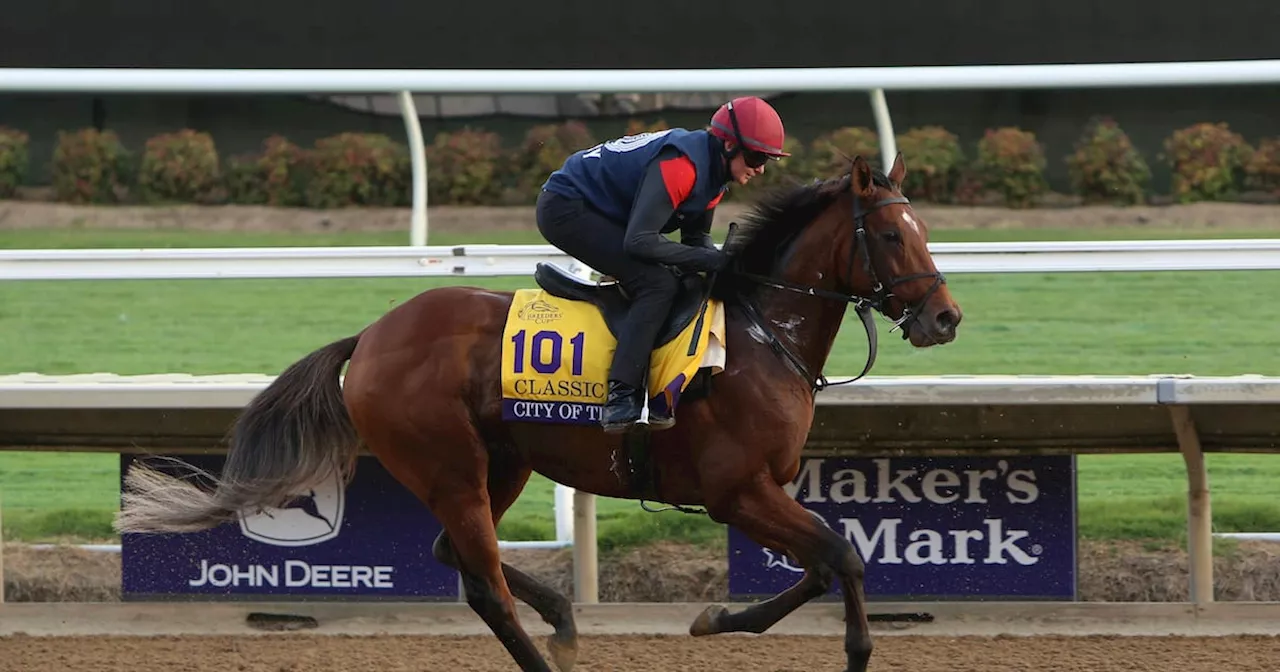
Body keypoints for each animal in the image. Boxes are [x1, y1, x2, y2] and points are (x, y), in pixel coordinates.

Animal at [115, 152, 962, 670]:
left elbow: (823, 563)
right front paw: (847, 649)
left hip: (505, 461)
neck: (760, 334)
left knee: (458, 556)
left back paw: (561, 617)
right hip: (447, 462)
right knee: (483, 581)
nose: (945, 319)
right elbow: (843, 555)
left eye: (926, 229)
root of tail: (374, 335)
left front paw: (719, 620)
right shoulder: (736, 490)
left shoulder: (765, 490)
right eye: (893, 234)